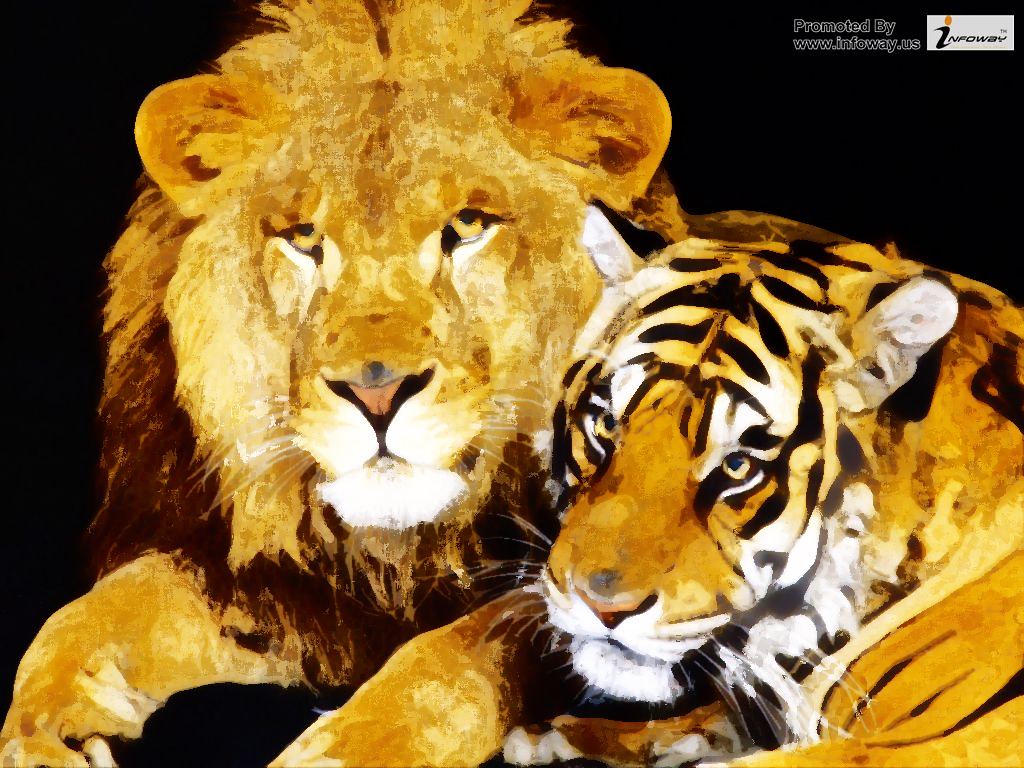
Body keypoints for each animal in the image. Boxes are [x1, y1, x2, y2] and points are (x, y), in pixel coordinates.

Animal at [0, 1, 677, 764]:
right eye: (302, 237)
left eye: (469, 224)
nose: (376, 393)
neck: (395, 555)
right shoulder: (274, 589)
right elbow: (98, 611)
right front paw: (44, 731)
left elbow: (467, 651)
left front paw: (348, 744)